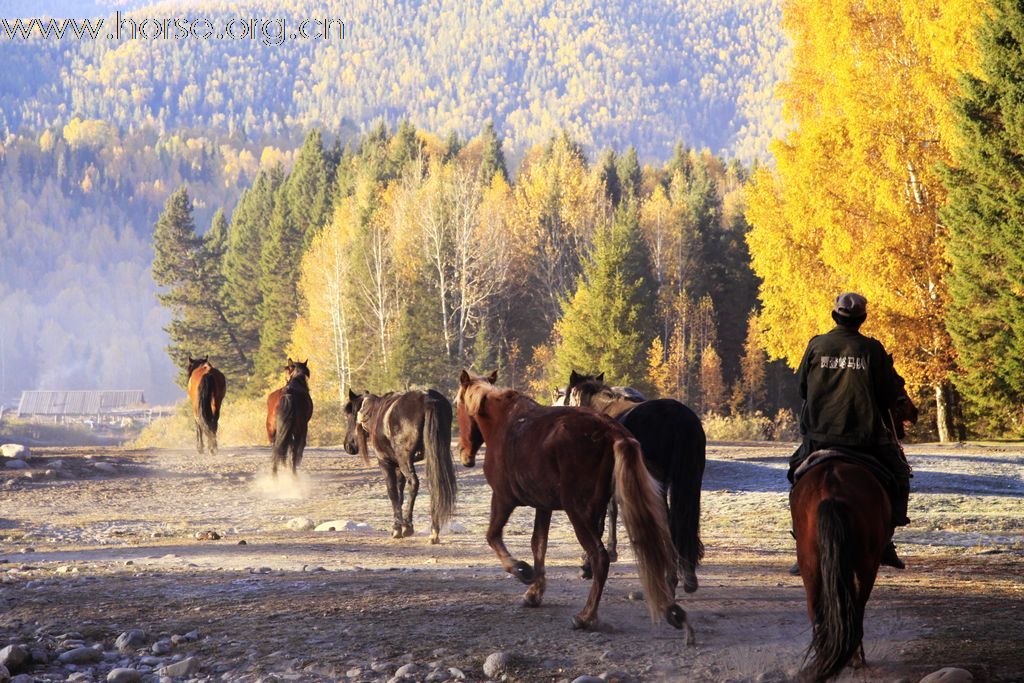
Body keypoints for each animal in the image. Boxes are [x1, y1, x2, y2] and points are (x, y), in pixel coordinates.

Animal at [458, 368, 692, 643]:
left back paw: (586, 617)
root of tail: (612, 431)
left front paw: (522, 571)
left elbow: (493, 536)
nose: (465, 455)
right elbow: (538, 544)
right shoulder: (543, 506)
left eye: (458, 405)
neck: (507, 423)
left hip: (578, 513)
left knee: (600, 558)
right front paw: (535, 591)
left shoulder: (503, 499)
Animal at [565, 368, 708, 593]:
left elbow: (600, 520)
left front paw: (588, 565)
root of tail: (678, 418)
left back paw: (670, 579)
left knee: (666, 521)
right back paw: (688, 577)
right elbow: (613, 511)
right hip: (690, 481)